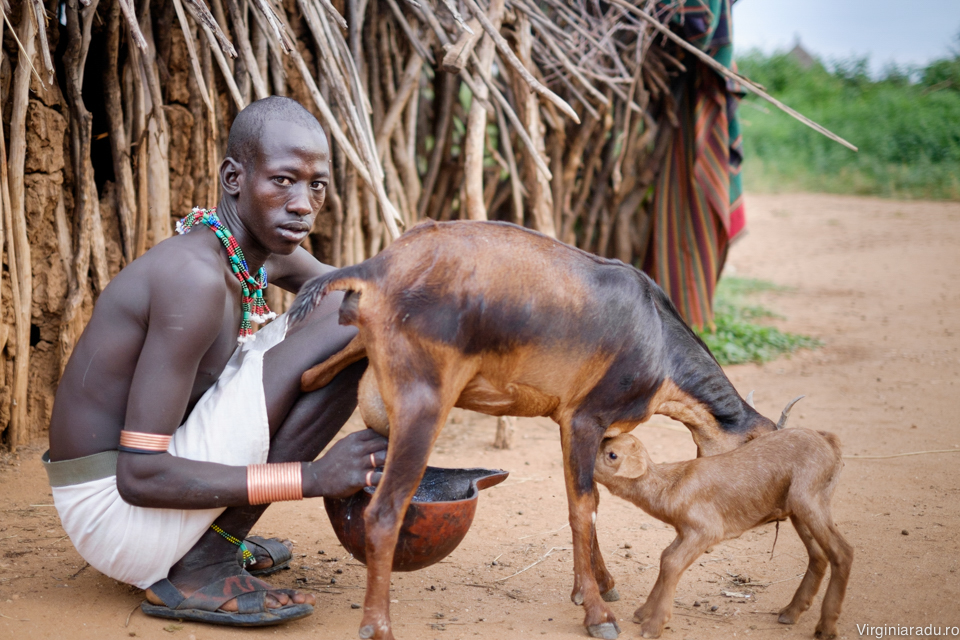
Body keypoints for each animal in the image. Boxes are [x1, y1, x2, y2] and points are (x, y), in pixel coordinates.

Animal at [288, 221, 784, 640]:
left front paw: (598, 585)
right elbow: (583, 507)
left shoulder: (587, 429)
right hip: (422, 410)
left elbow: (589, 499)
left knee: (308, 378)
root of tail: (373, 270)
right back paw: (379, 628)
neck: (656, 333)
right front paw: (598, 614)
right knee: (383, 512)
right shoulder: (583, 419)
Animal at [596, 430, 852, 640]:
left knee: (842, 551)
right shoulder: (684, 531)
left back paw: (826, 628)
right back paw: (791, 612)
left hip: (808, 497)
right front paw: (642, 613)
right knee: (819, 554)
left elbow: (672, 563)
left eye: (612, 455)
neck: (669, 486)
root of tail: (830, 441)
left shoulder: (706, 530)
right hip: (798, 508)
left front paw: (653, 626)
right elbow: (665, 557)